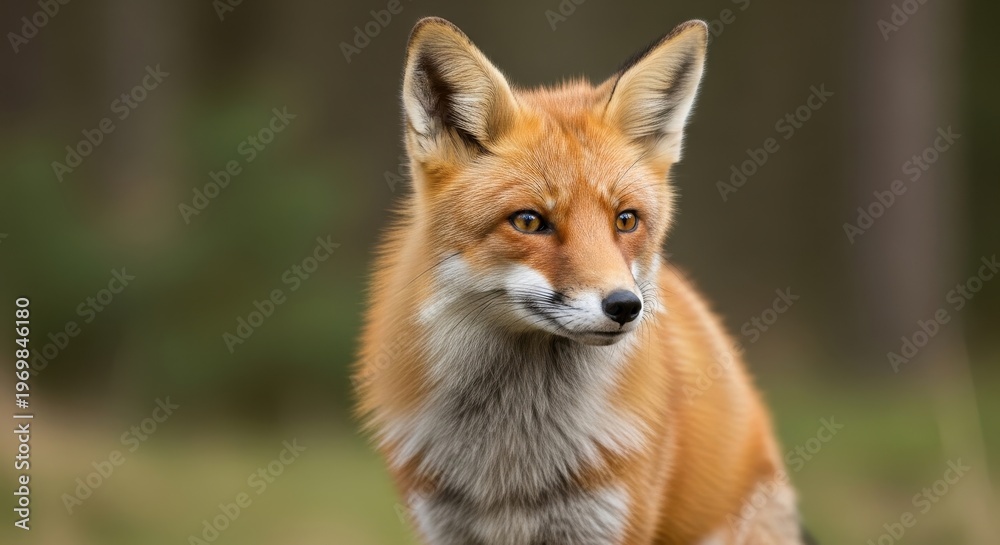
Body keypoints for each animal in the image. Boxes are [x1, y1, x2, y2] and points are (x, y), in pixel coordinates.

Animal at [355, 17, 812, 545]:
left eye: (626, 220)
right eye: (529, 221)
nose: (625, 306)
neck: (510, 461)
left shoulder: (607, 520)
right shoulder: (443, 525)